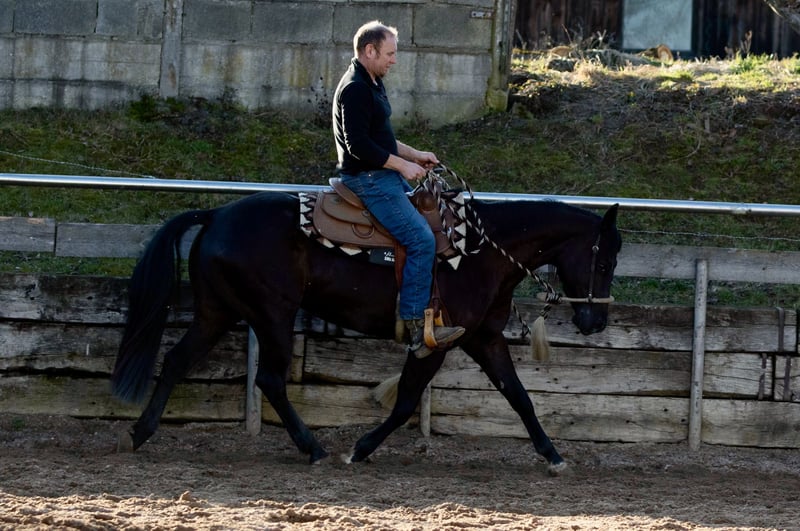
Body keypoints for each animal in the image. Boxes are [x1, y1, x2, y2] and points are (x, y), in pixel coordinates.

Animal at [111, 186, 621, 475]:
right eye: (605, 261)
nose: (595, 322)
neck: (481, 251)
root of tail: (216, 214)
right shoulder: (435, 343)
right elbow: (406, 402)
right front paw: (360, 449)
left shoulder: (483, 339)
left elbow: (519, 396)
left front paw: (552, 455)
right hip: (272, 314)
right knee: (270, 379)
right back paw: (314, 448)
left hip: (217, 312)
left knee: (177, 360)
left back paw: (141, 432)